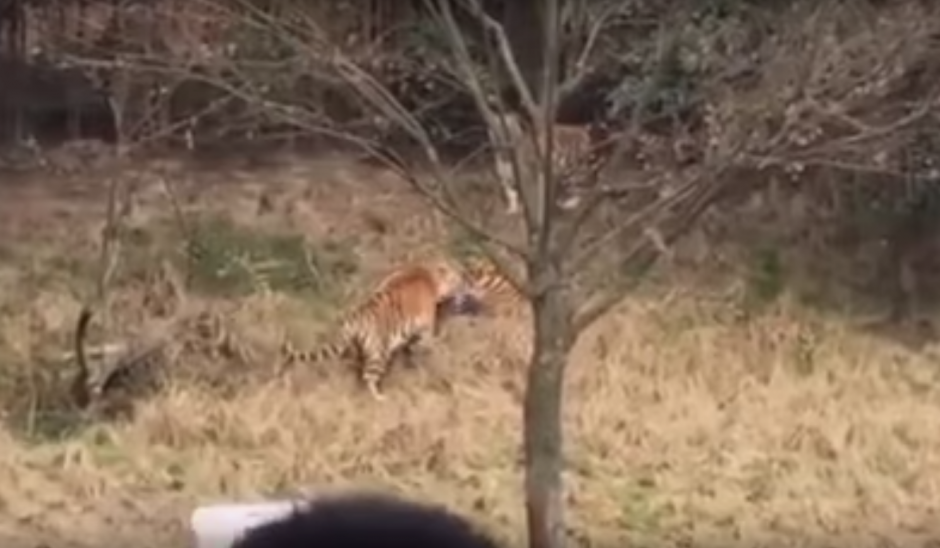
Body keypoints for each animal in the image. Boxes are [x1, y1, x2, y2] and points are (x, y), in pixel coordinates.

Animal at [278, 260, 470, 400]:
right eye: (457, 280)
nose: (464, 284)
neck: (429, 274)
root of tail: (355, 317)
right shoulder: (424, 330)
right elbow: (428, 343)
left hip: (358, 351)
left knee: (357, 373)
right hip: (377, 352)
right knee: (368, 377)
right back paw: (379, 397)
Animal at [488, 110, 620, 215]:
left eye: (508, 129)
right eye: (495, 131)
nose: (501, 143)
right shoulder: (507, 180)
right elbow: (511, 194)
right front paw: (513, 209)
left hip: (576, 170)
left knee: (586, 186)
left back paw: (570, 202)